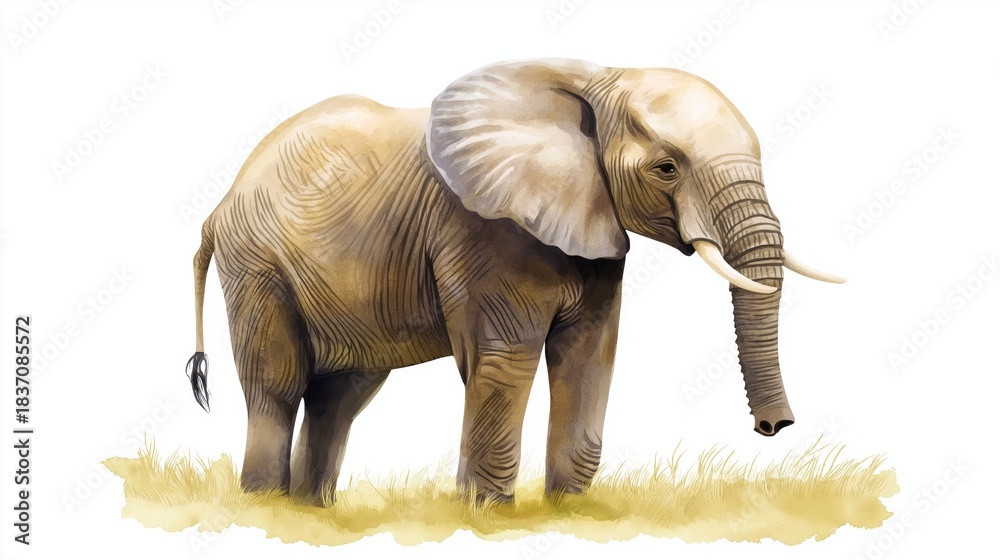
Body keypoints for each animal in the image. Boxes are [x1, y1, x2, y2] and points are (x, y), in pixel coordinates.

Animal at [185, 58, 843, 505]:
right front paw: (486, 514)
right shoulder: (484, 233)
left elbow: (590, 356)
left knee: (340, 395)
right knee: (278, 385)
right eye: (666, 168)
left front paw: (568, 510)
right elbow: (504, 359)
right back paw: (267, 506)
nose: (773, 428)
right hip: (258, 266)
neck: (594, 80)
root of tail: (219, 205)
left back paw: (313, 510)